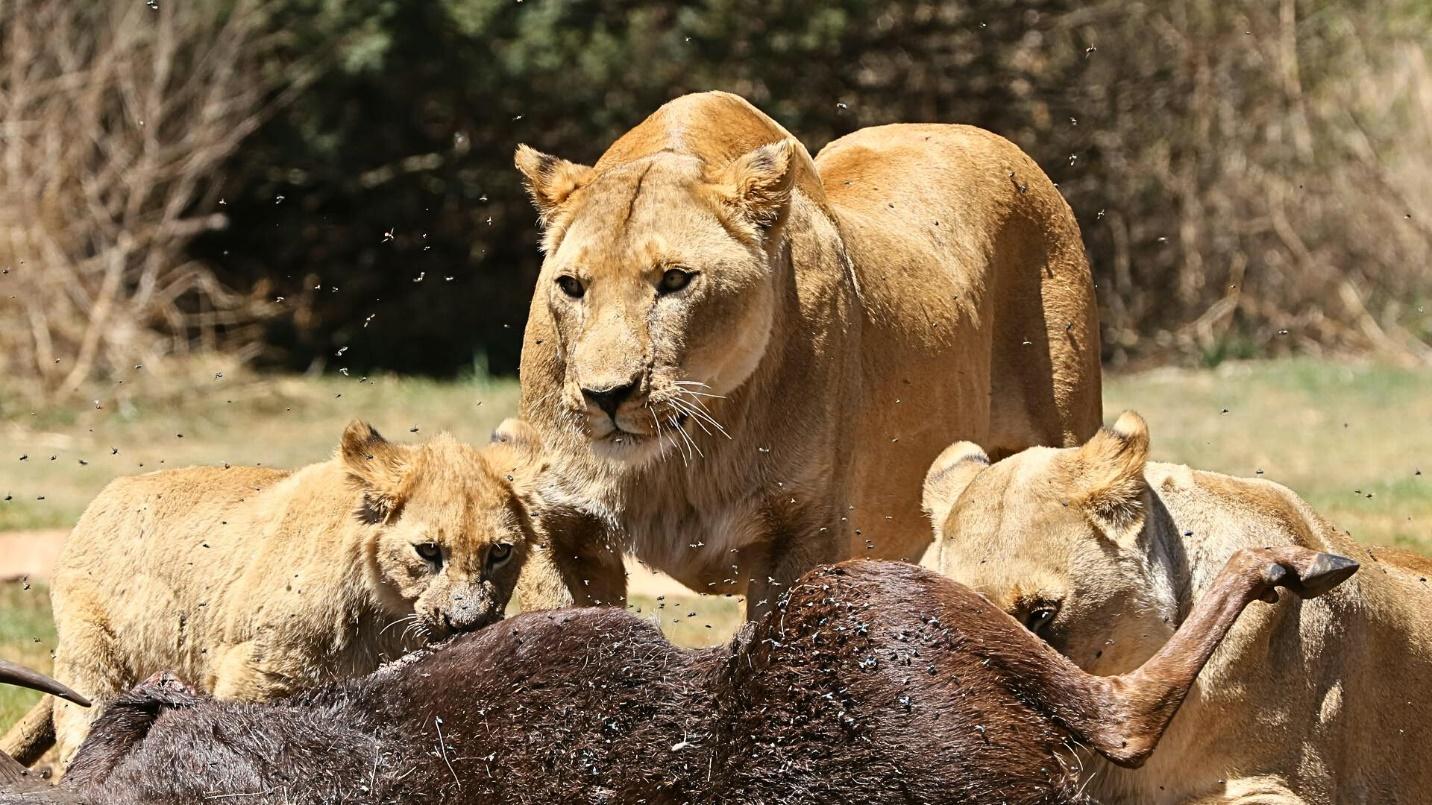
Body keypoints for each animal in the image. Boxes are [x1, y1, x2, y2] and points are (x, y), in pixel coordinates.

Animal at [1, 418, 547, 769]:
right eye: (428, 550)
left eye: (499, 553)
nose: (469, 622)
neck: (385, 618)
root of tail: (102, 499)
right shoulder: (254, 670)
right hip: (93, 665)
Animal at [512, 91, 1102, 618]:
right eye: (571, 286)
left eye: (676, 279)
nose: (605, 396)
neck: (687, 457)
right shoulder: (560, 527)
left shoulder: (802, 533)